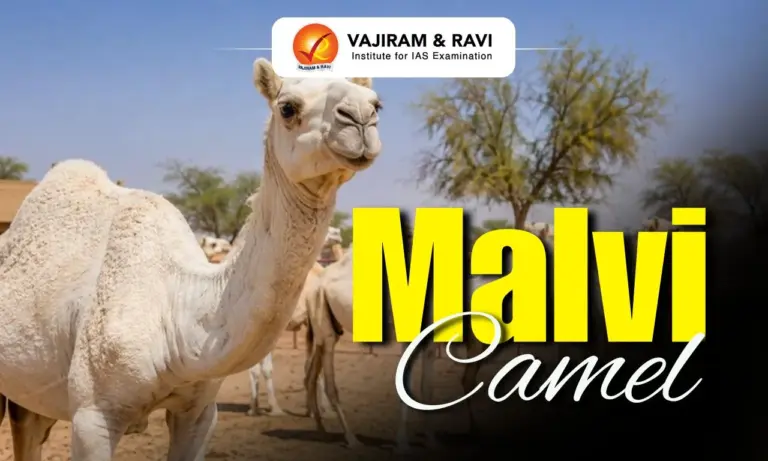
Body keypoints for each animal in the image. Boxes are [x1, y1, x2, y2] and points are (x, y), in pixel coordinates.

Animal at [0, 59, 382, 461]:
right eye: (288, 108)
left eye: (376, 103)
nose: (360, 117)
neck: (179, 313)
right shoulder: (93, 415)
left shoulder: (199, 412)